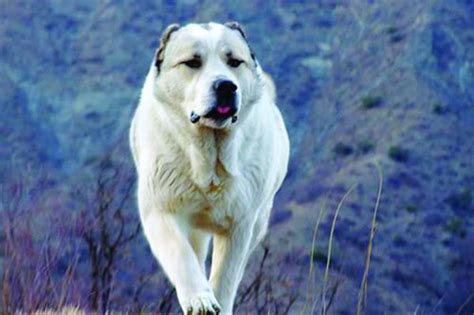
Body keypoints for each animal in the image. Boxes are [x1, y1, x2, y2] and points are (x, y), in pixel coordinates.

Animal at [131, 21, 290, 314]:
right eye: (193, 62)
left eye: (234, 62)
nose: (226, 86)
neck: (210, 160)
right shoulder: (160, 210)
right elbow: (181, 256)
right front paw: (199, 300)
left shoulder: (240, 224)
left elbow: (226, 277)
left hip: (258, 223)